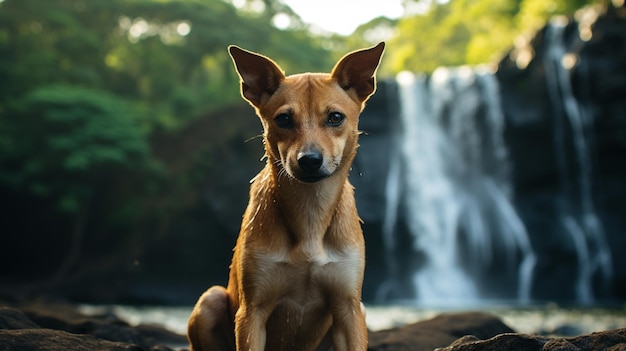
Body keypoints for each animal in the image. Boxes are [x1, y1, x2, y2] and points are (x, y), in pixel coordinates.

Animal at [185, 42, 382, 351]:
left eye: (335, 117)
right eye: (284, 119)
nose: (309, 160)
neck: (310, 210)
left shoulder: (349, 308)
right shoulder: (252, 312)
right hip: (210, 301)